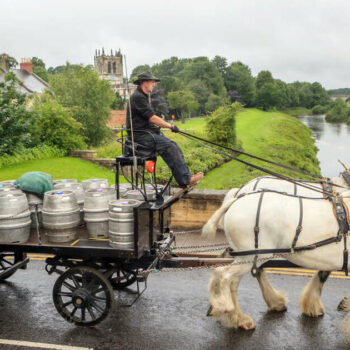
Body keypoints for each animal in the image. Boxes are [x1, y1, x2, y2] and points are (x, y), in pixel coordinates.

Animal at [204, 190, 350, 340]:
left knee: (233, 282)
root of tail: (236, 199)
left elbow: (323, 274)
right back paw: (225, 306)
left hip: (246, 257)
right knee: (222, 274)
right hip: (252, 256)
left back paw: (240, 318)